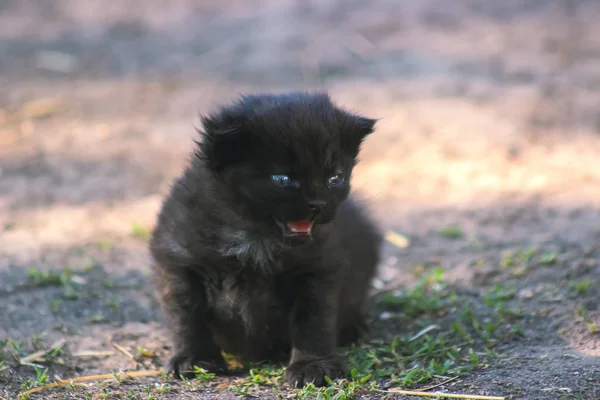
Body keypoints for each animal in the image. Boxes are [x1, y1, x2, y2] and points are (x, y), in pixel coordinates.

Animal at [148, 91, 382, 388]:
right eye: (281, 178)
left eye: (334, 178)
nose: (317, 204)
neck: (255, 238)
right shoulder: (179, 261)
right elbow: (186, 314)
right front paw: (193, 359)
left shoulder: (318, 268)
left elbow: (314, 320)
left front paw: (313, 365)